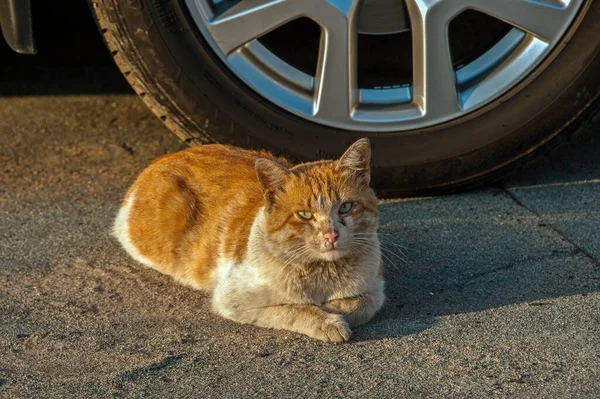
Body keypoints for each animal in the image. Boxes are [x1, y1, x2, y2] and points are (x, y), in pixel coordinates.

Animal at [112, 139, 384, 342]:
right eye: (305, 215)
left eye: (346, 207)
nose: (331, 234)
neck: (324, 274)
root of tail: (159, 160)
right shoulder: (235, 300)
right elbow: (293, 309)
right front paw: (328, 320)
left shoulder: (376, 289)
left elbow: (361, 305)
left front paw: (336, 309)